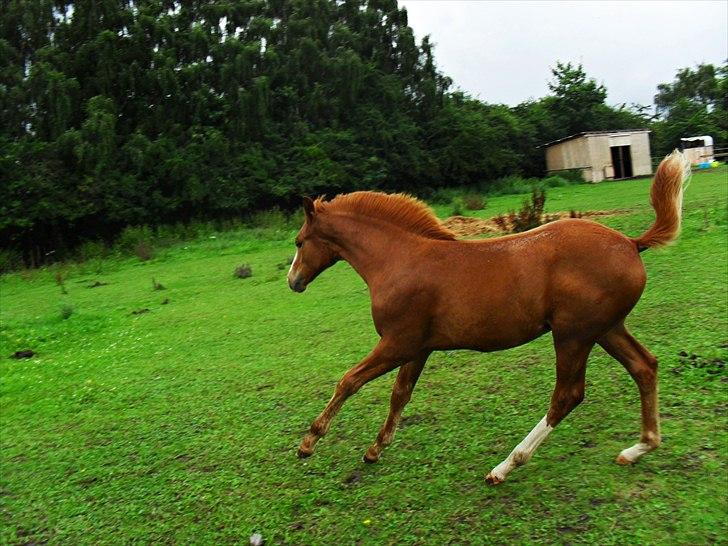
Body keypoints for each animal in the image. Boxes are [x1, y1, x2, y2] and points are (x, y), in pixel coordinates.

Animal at [286, 151, 688, 482]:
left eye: (299, 241)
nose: (293, 281)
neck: (400, 260)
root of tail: (631, 243)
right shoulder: (418, 348)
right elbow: (400, 395)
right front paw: (374, 449)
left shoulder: (397, 342)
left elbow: (349, 381)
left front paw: (309, 442)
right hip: (606, 329)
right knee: (644, 367)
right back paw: (638, 449)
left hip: (573, 335)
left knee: (567, 395)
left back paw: (505, 466)